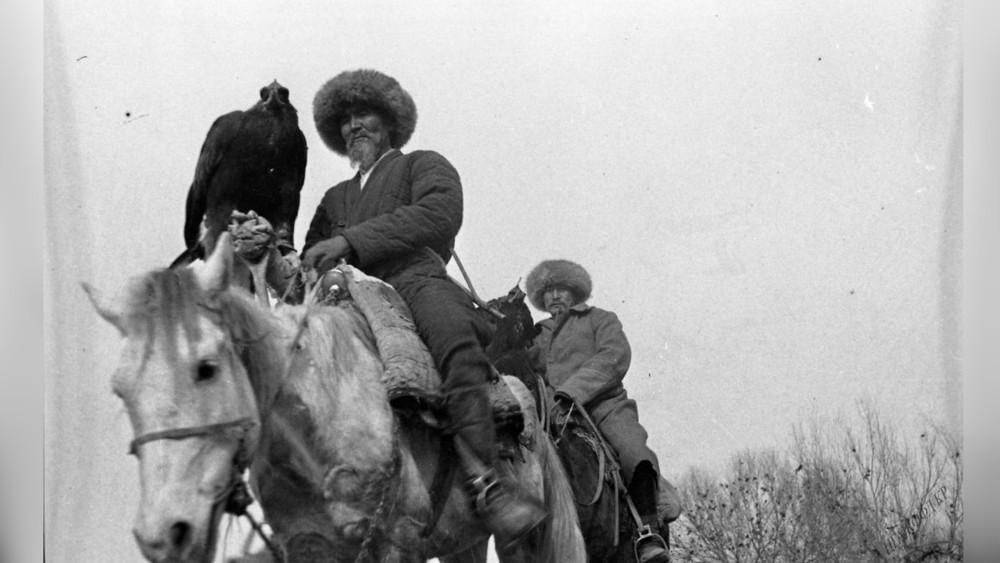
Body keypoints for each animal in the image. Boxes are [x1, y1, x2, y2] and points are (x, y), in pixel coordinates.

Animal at [83, 234, 586, 563]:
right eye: (120, 389)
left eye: (206, 367)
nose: (163, 533)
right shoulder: (310, 548)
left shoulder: (398, 542)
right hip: (464, 542)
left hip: (521, 540)